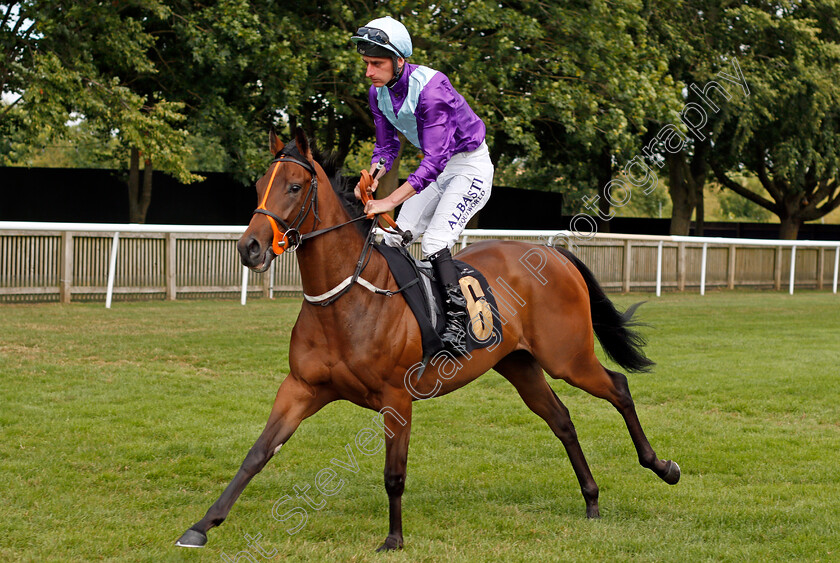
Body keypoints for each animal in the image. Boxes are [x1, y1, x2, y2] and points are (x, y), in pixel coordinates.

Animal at [174, 128, 680, 552]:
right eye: (260, 184)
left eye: (295, 187)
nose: (250, 247)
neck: (347, 299)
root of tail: (554, 254)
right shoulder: (301, 387)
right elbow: (257, 453)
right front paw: (202, 526)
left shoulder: (396, 398)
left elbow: (393, 474)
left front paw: (393, 539)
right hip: (519, 364)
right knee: (562, 420)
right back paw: (591, 499)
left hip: (567, 357)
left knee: (618, 387)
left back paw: (662, 466)